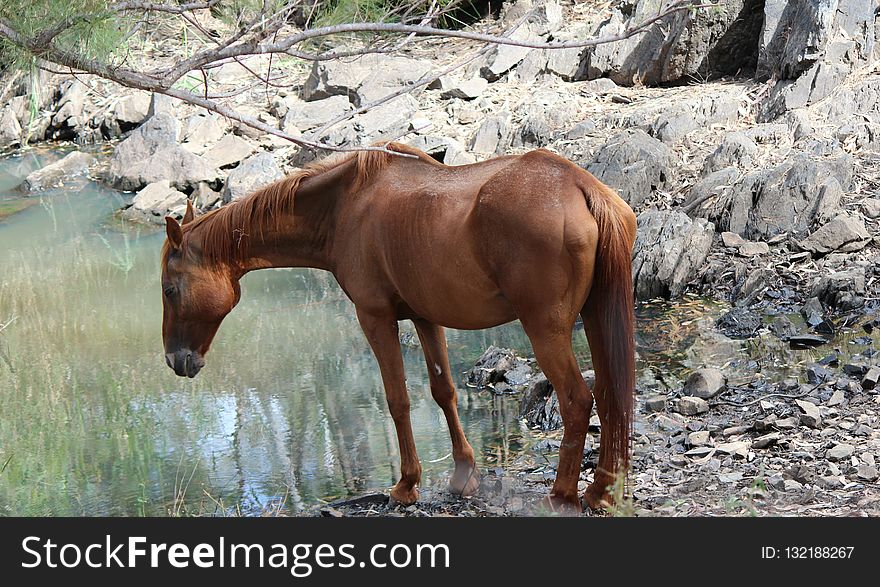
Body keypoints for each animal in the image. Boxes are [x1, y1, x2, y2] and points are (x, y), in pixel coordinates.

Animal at [160, 141, 632, 510]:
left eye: (169, 290)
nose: (175, 361)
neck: (345, 206)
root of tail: (582, 186)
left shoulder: (375, 318)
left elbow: (397, 399)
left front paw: (407, 484)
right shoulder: (425, 318)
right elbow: (444, 392)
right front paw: (463, 475)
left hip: (545, 329)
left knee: (577, 401)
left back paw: (563, 496)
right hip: (596, 317)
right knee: (611, 395)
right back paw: (601, 492)